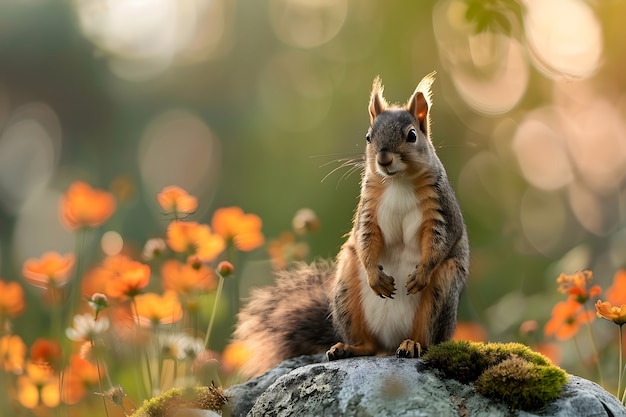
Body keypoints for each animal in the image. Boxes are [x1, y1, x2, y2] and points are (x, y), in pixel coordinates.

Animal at [234, 72, 468, 376]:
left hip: (441, 295)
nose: (383, 158)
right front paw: (376, 278)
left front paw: (420, 274)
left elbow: (441, 241)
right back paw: (347, 348)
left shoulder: (442, 211)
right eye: (368, 137)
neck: (398, 182)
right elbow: (366, 239)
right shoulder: (368, 212)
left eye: (412, 135)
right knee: (367, 344)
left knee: (427, 338)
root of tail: (390, 344)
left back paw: (413, 345)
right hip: (346, 288)